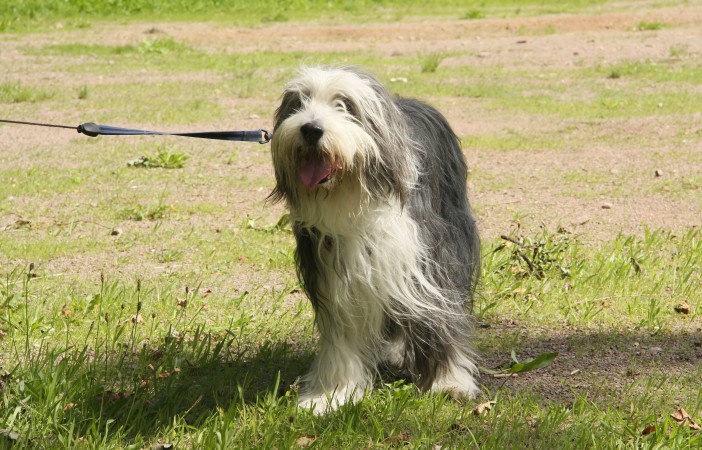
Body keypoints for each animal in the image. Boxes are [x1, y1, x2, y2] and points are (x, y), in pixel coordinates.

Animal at [270, 65, 484, 414]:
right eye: (298, 103)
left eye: (345, 105)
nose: (310, 129)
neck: (354, 195)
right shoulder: (333, 269)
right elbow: (342, 334)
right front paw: (331, 394)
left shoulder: (427, 262)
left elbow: (440, 317)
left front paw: (449, 382)